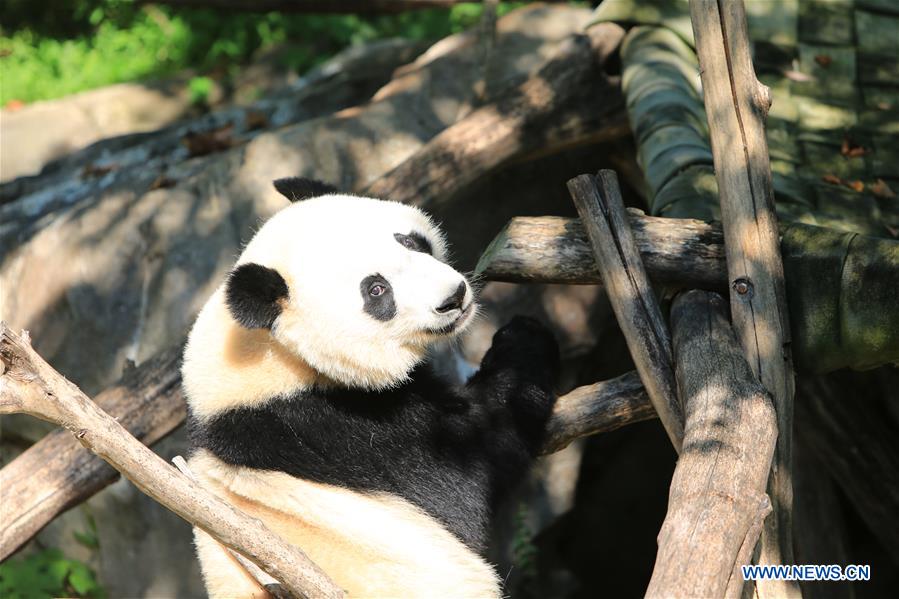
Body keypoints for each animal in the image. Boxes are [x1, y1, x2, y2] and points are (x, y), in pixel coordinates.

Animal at [183, 179, 560, 599]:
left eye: (409, 241)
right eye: (377, 290)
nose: (454, 297)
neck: (270, 356)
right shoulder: (330, 431)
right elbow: (463, 477)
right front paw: (525, 340)